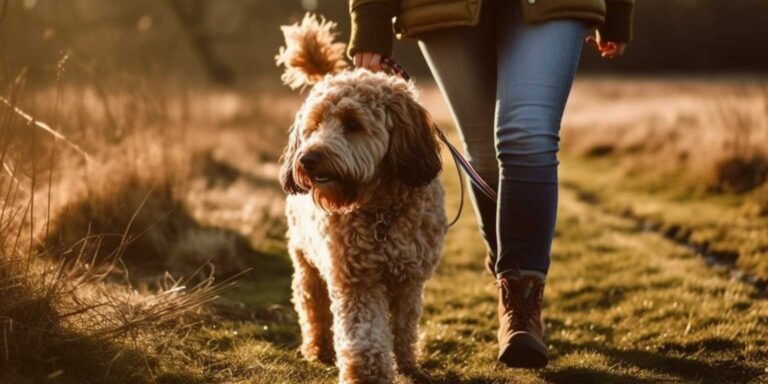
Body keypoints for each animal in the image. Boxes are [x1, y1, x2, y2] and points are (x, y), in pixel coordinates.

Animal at [276, 13, 448, 382]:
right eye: (313, 126)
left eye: (353, 123)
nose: (308, 158)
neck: (381, 209)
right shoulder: (357, 281)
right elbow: (364, 334)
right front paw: (368, 373)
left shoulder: (409, 280)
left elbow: (404, 326)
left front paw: (407, 363)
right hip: (306, 260)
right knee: (312, 306)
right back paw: (318, 348)